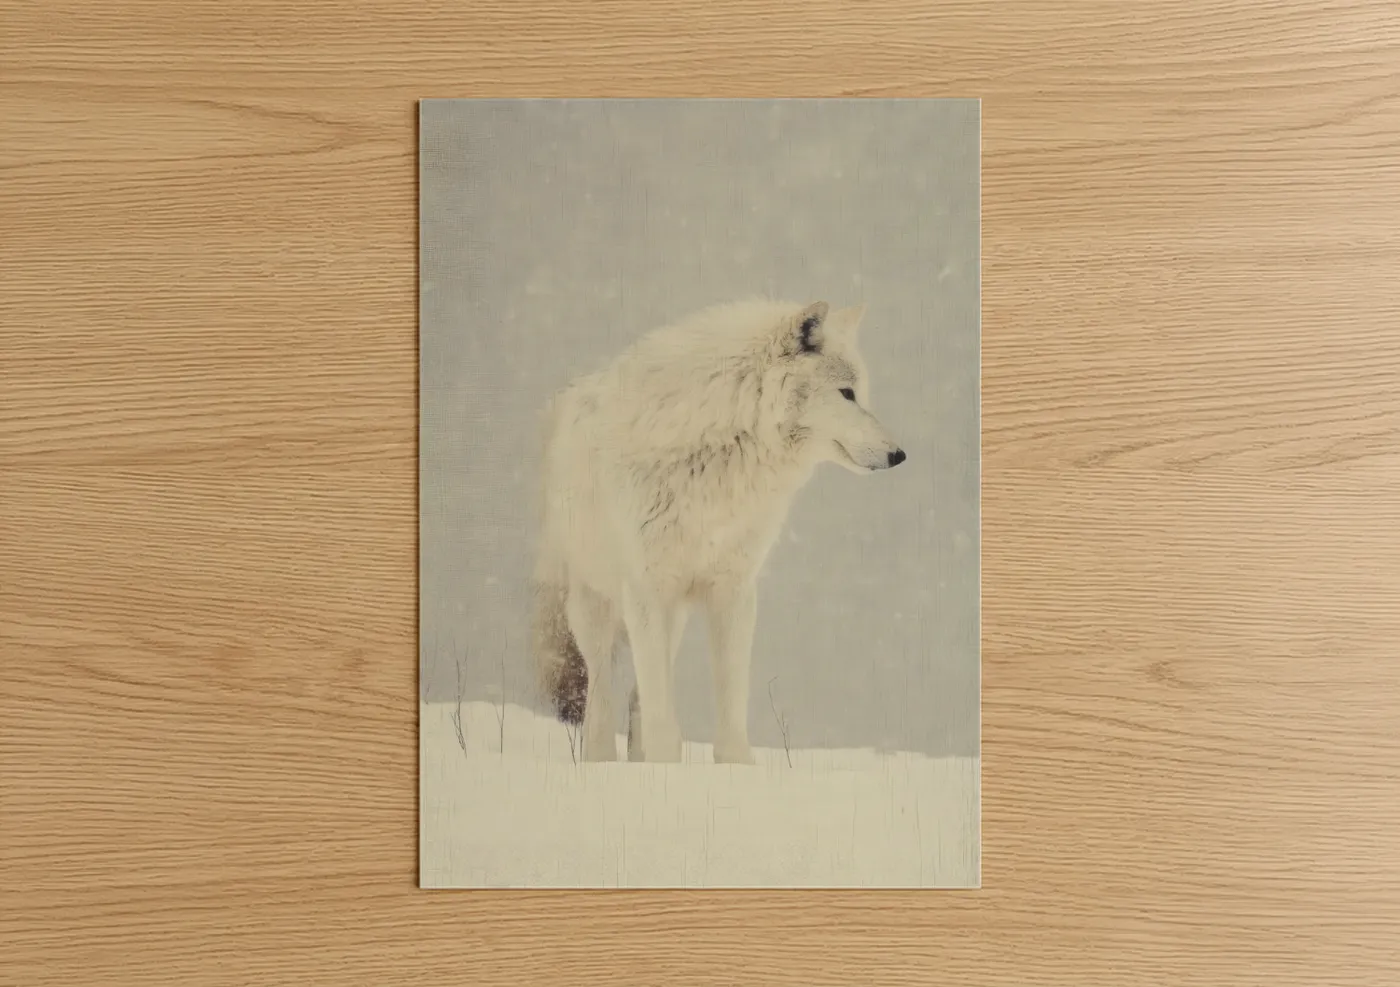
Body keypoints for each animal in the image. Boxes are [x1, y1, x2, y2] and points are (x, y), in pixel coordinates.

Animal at [531, 298, 905, 764]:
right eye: (846, 393)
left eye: (860, 392)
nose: (899, 454)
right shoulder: (647, 590)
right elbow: (657, 711)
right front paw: (662, 769)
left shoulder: (734, 589)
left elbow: (730, 701)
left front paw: (732, 767)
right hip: (594, 606)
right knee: (600, 698)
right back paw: (602, 762)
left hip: (672, 616)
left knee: (637, 696)